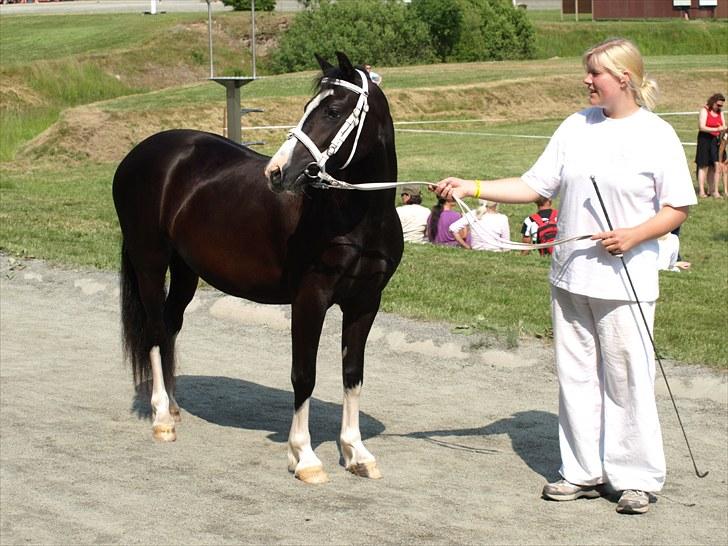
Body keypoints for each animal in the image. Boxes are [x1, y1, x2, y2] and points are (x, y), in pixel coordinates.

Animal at [112, 52, 403, 484]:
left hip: (184, 272)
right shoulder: (310, 300)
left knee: (168, 327)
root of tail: (138, 155)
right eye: (309, 107)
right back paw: (162, 417)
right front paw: (304, 457)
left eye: (333, 111)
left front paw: (356, 452)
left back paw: (175, 409)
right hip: (150, 263)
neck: (358, 217)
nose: (277, 172)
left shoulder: (365, 303)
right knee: (153, 331)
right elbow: (304, 374)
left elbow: (352, 374)